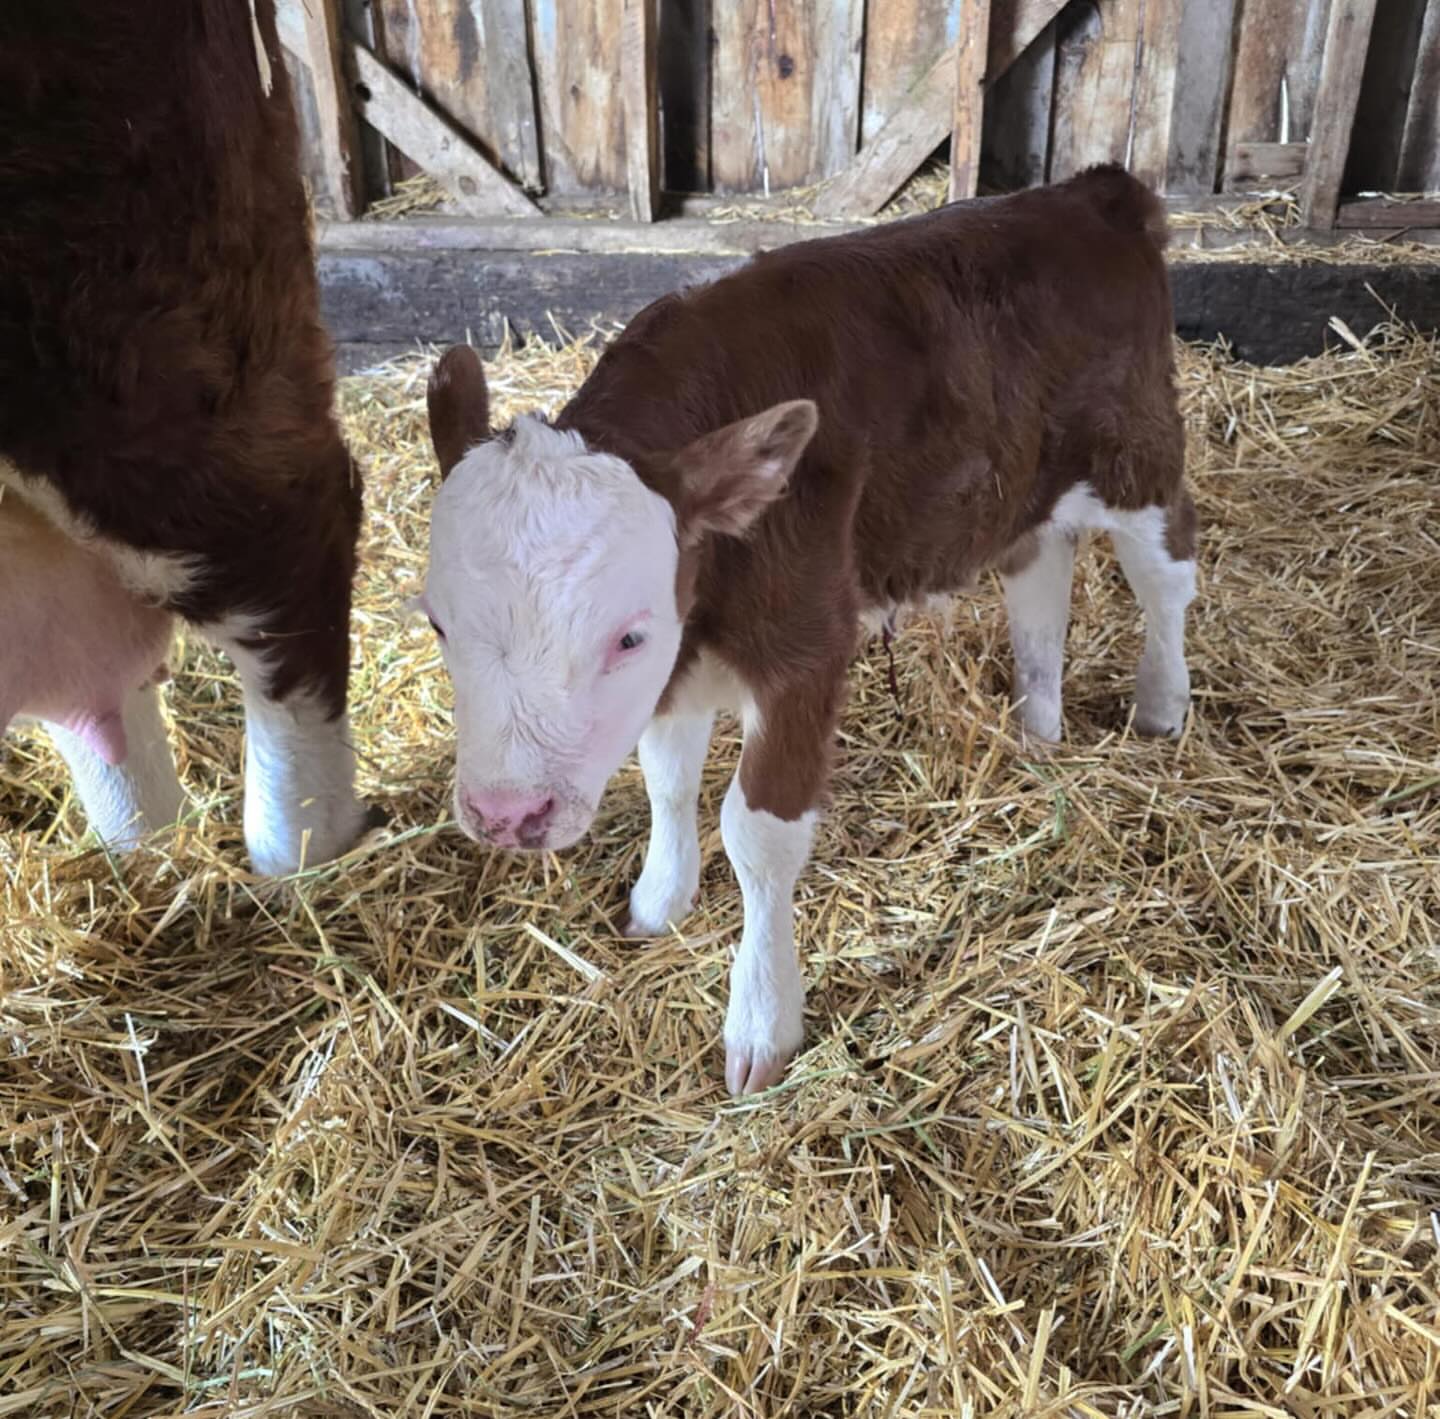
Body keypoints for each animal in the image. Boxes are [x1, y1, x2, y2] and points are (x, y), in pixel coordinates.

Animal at [421, 166, 1198, 1094]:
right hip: (1019, 493)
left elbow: (757, 833)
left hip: (1139, 457)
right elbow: (667, 781)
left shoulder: (805, 650)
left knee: (1167, 579)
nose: (505, 814)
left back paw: (1162, 705)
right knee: (1040, 577)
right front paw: (659, 900)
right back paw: (1037, 726)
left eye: (628, 637)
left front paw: (762, 1022)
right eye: (437, 622)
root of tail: (1096, 190)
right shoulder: (683, 668)